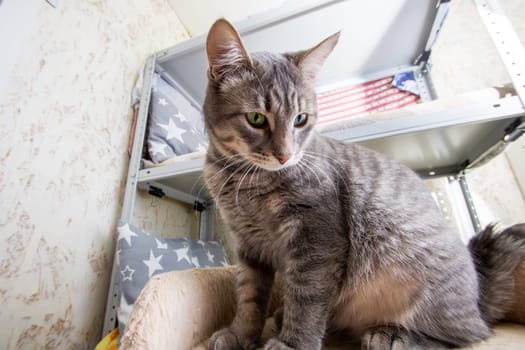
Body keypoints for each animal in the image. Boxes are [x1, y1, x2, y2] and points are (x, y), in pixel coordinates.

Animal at [203, 17, 524, 348]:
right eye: (256, 118)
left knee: (466, 336)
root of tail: (479, 298)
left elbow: (306, 299)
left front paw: (291, 343)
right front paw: (240, 334)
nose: (285, 155)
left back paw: (392, 334)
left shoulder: (317, 239)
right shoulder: (248, 247)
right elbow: (249, 297)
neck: (244, 179)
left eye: (300, 119)